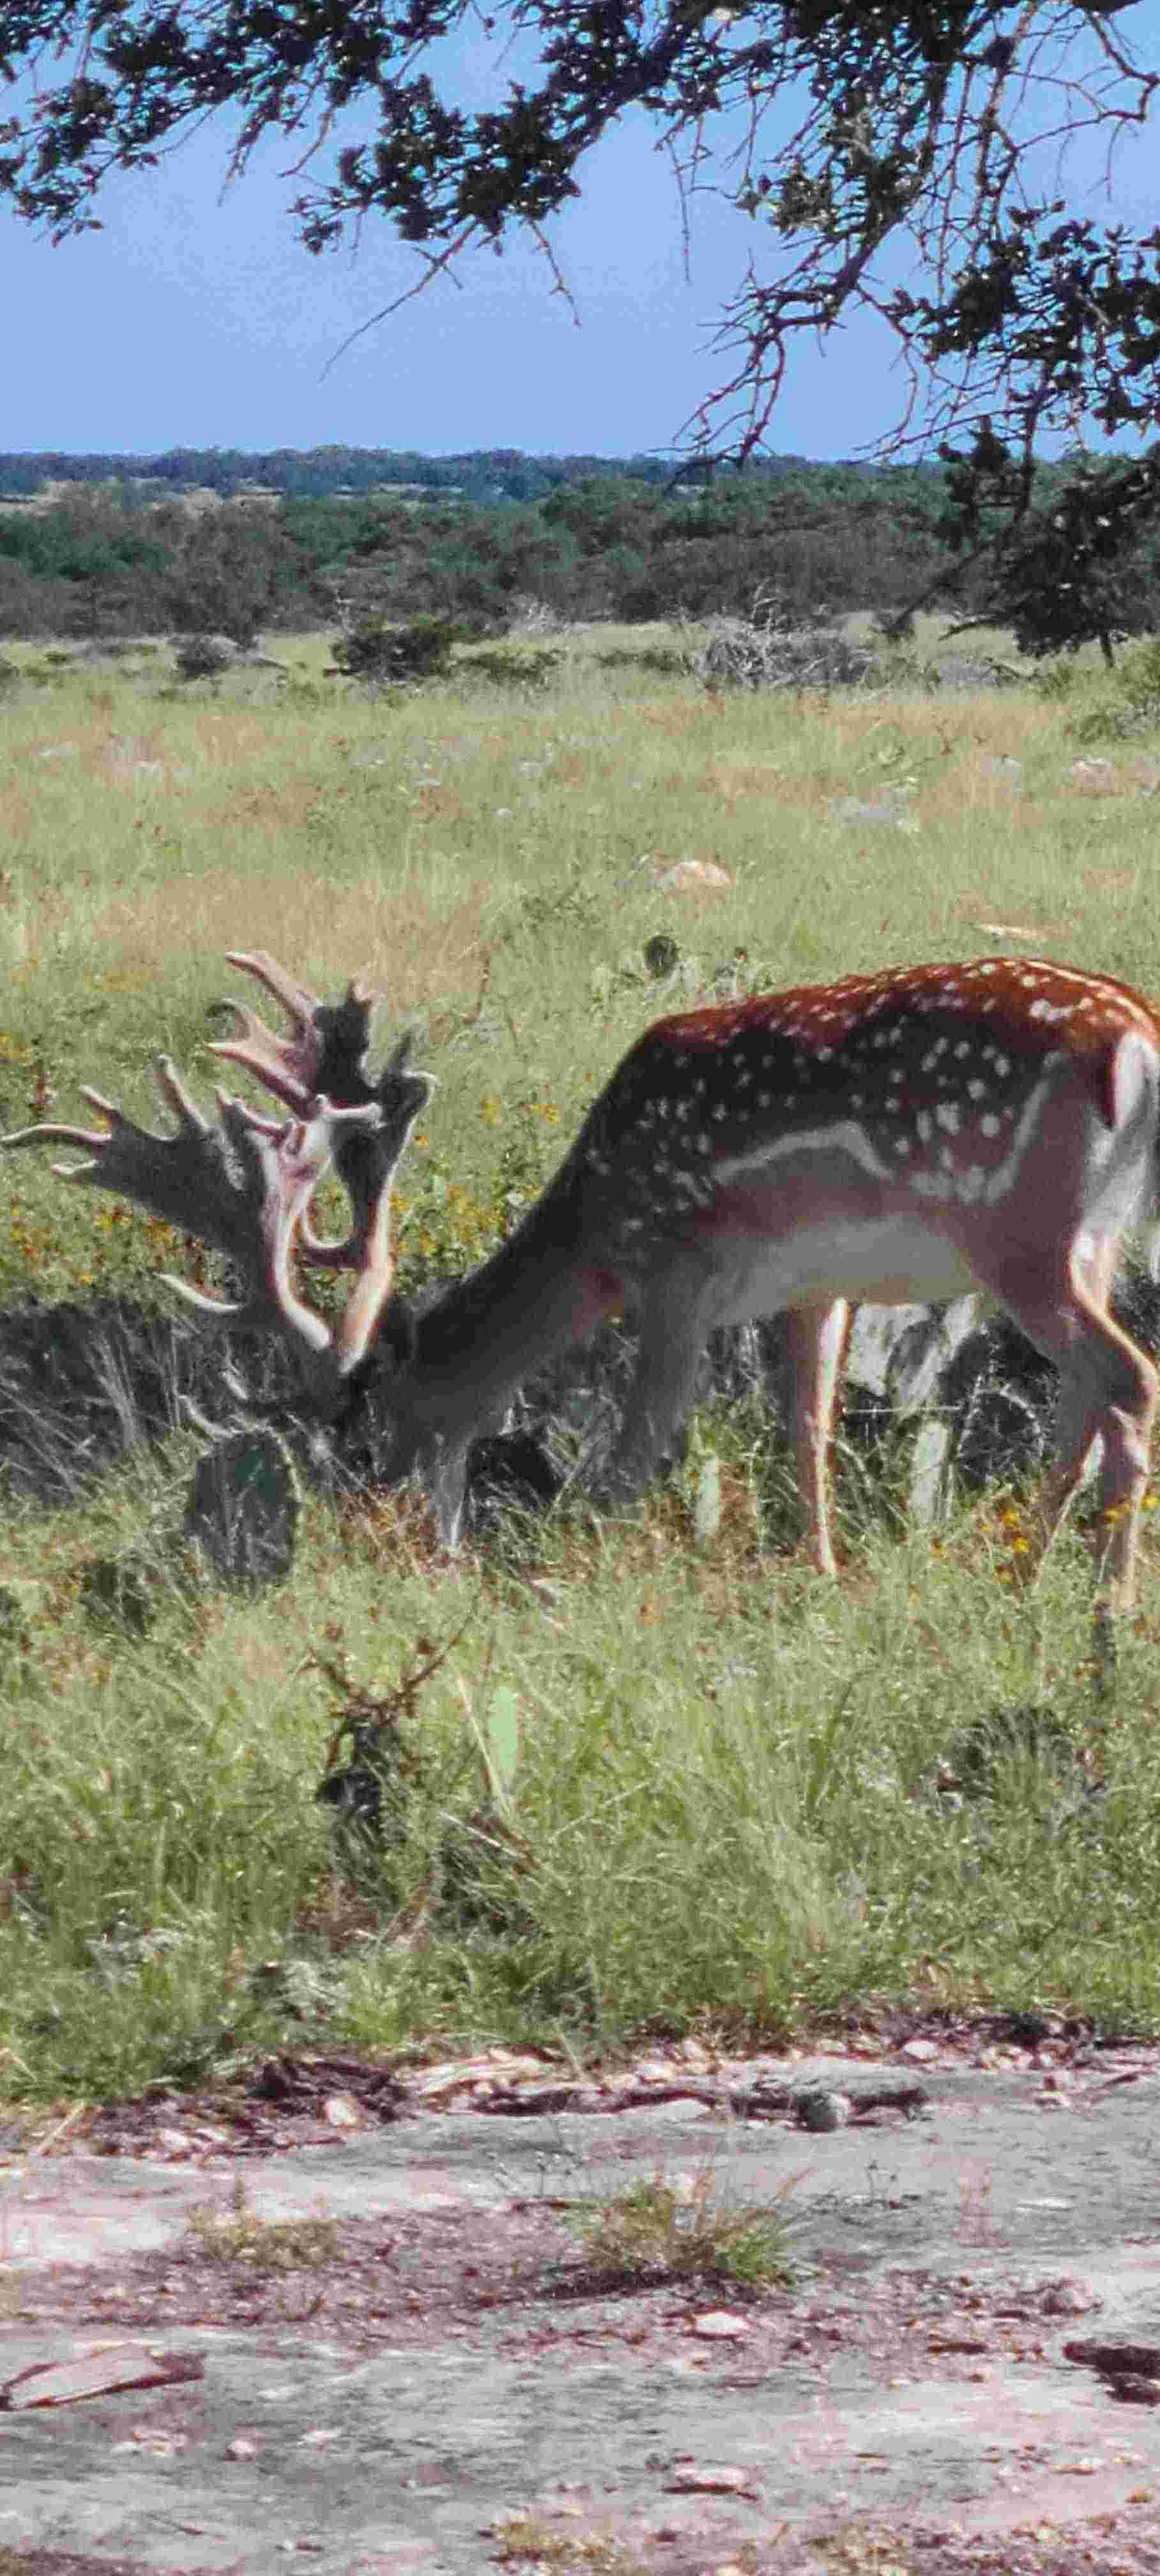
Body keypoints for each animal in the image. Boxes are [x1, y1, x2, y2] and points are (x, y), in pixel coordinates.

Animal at [9, 947, 1159, 1618]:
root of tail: (1132, 1040)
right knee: (1083, 1399)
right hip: (1097, 1238)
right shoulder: (813, 1288)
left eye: (370, 1435)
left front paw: (562, 1575)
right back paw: (1025, 1578)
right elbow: (807, 1428)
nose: (395, 1539)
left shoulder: (677, 1269)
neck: (597, 1220)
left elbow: (638, 1448)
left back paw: (1103, 1615)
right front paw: (823, 1575)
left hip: (1019, 1231)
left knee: (1126, 1377)